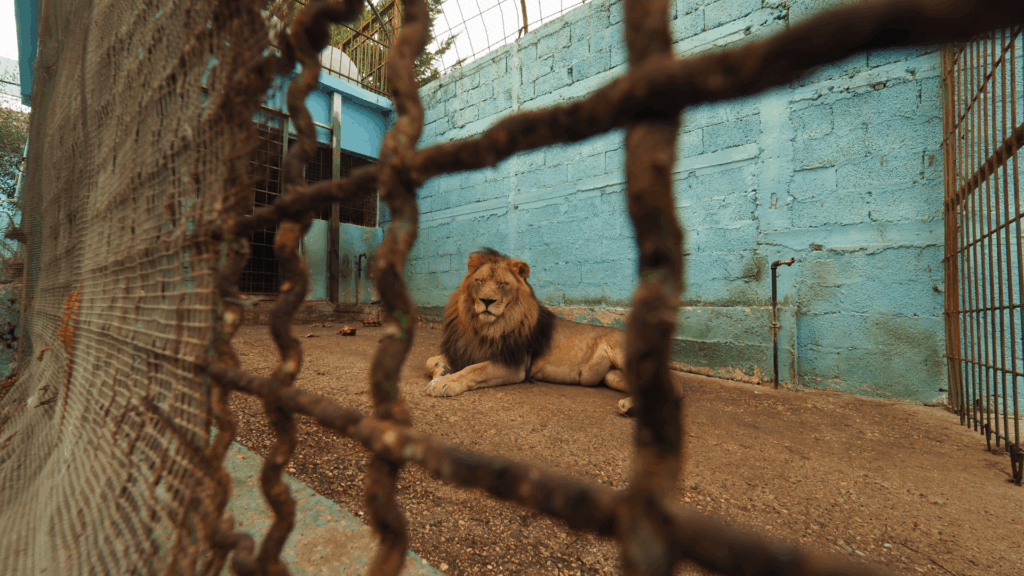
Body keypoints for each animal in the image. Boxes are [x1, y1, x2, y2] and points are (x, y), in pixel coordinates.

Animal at [424, 248, 683, 416]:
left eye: (502, 284)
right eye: (479, 281)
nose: (487, 301)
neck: (485, 326)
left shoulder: (514, 365)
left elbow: (473, 370)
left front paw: (444, 383)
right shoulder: (464, 349)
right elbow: (431, 361)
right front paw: (442, 373)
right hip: (613, 376)